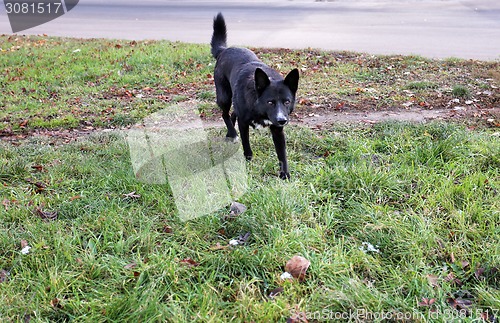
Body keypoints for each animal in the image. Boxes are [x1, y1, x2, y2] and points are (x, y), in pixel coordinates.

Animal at [210, 12, 298, 180]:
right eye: (270, 102)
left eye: (287, 102)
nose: (282, 120)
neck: (259, 108)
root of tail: (224, 50)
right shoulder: (244, 123)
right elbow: (246, 144)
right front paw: (248, 159)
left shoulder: (278, 131)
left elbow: (282, 154)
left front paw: (285, 175)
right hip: (224, 96)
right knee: (225, 114)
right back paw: (232, 133)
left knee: (232, 113)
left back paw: (229, 133)